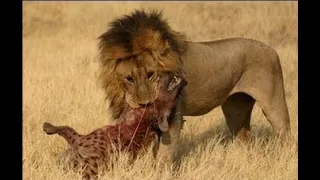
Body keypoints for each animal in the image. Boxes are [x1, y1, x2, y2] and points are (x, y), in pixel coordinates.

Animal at [97, 9, 290, 164]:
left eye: (151, 74)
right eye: (129, 78)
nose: (145, 104)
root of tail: (271, 49)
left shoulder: (173, 118)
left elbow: (163, 157)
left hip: (274, 104)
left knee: (285, 134)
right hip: (235, 110)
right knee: (245, 138)